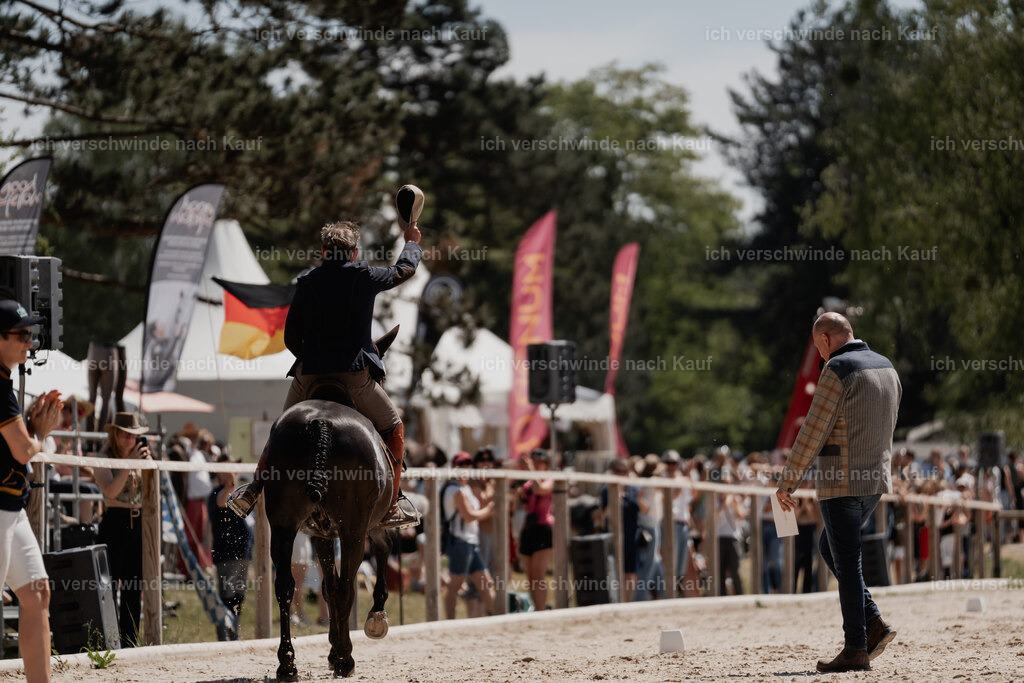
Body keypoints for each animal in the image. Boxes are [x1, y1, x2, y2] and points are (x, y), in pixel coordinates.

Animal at [263, 328, 401, 680]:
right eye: (381, 376)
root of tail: (320, 424)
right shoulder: (365, 525)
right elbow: (375, 555)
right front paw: (368, 621)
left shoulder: (320, 534)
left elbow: (326, 585)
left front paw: (332, 647)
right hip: (353, 530)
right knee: (346, 587)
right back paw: (345, 659)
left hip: (283, 525)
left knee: (285, 586)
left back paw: (288, 664)